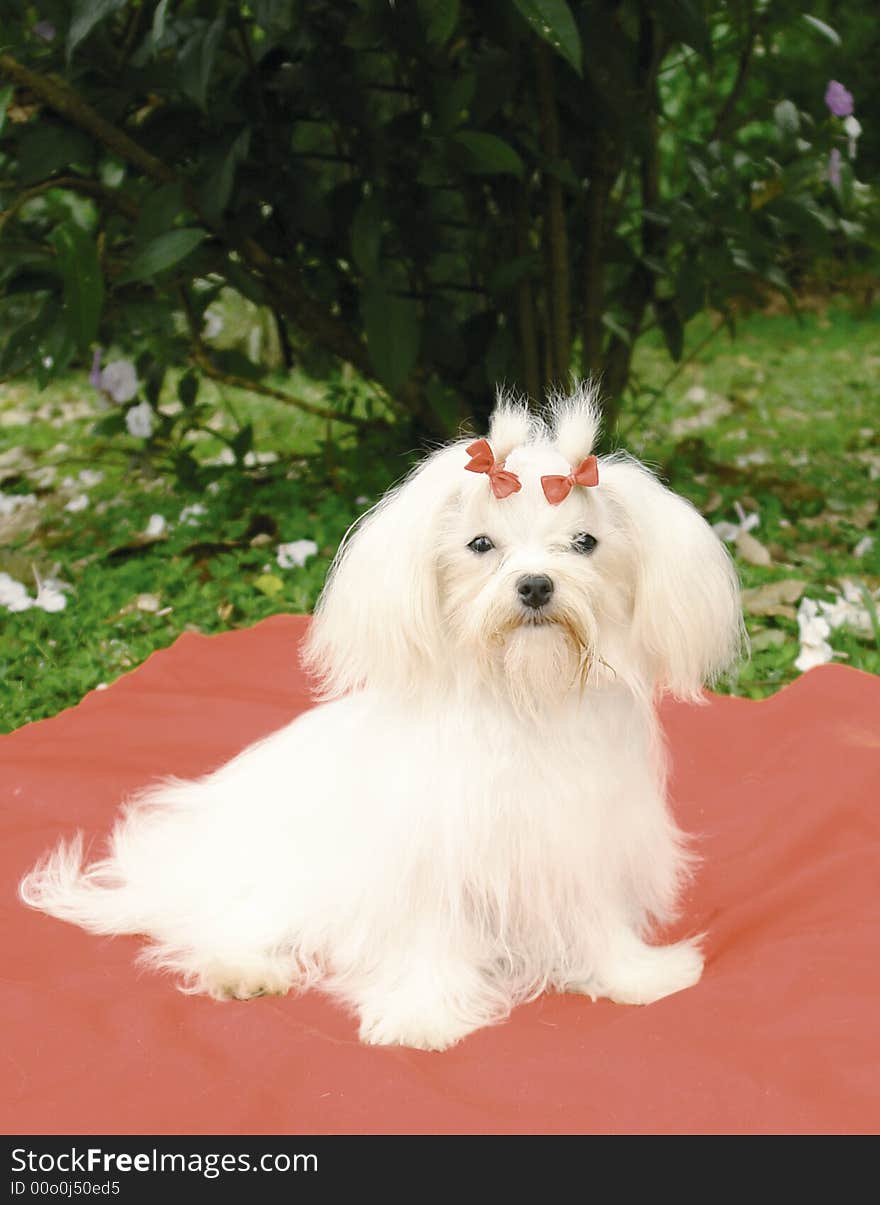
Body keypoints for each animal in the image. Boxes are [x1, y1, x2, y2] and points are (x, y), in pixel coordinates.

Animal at [20, 385, 742, 1045]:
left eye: (585, 541)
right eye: (481, 543)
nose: (536, 585)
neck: (519, 697)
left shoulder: (578, 839)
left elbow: (595, 919)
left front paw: (633, 976)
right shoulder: (427, 860)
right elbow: (427, 938)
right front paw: (423, 1014)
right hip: (272, 872)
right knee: (216, 921)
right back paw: (244, 968)